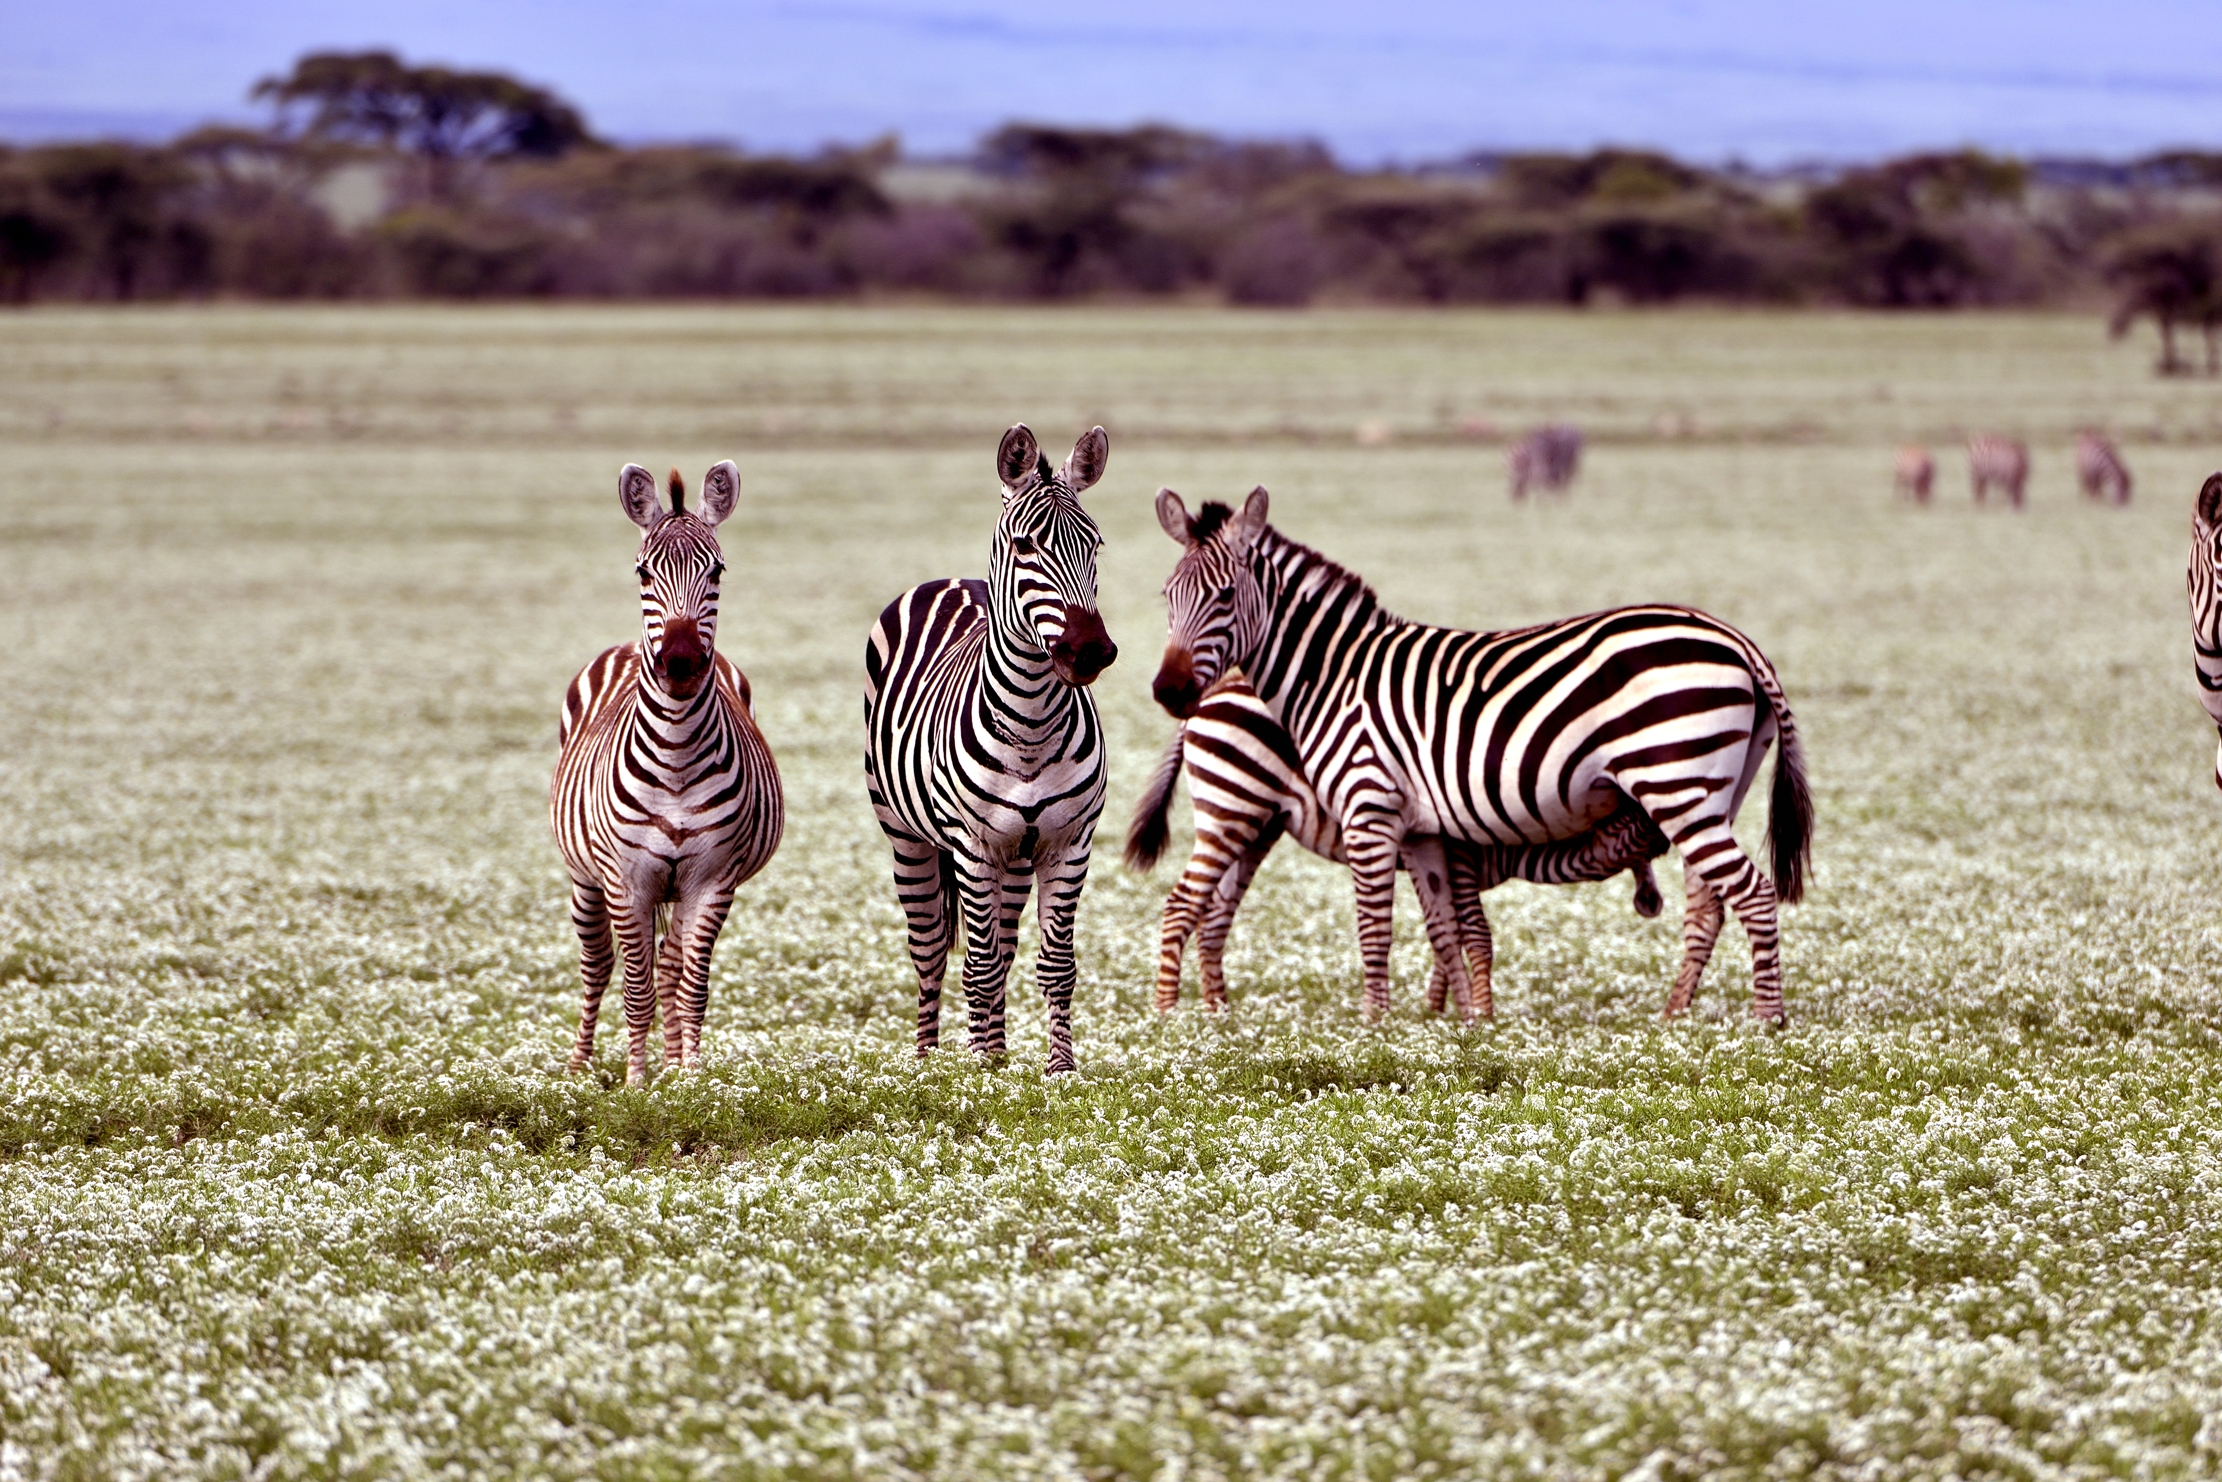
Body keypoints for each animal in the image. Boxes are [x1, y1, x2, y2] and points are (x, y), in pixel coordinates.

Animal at [550, 463, 785, 1085]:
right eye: (642, 572)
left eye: (718, 570)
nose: (679, 663)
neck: (677, 756)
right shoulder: (624, 879)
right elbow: (636, 989)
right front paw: (636, 1083)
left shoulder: (713, 879)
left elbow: (690, 985)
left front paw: (689, 1079)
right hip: (584, 877)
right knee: (597, 966)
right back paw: (580, 1066)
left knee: (672, 963)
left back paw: (673, 1062)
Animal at [864, 425, 1116, 1074]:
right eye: (1026, 547)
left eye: (1096, 543)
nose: (1089, 650)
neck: (1030, 729)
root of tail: (952, 580)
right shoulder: (972, 846)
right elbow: (975, 966)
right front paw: (980, 1074)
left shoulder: (1068, 843)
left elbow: (1055, 966)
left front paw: (1059, 1069)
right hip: (906, 836)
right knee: (930, 948)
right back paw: (929, 1060)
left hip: (1016, 858)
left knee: (1003, 947)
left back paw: (998, 1052)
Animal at [1123, 668, 1668, 1017]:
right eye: (1643, 824)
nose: (1655, 900)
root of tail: (1210, 693)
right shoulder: (1461, 853)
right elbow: (1474, 934)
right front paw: (1480, 1013)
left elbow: (1444, 935)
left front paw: (1438, 1009)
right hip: (1233, 806)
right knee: (1183, 904)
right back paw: (1167, 1013)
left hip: (1258, 825)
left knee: (1213, 916)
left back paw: (1219, 1014)